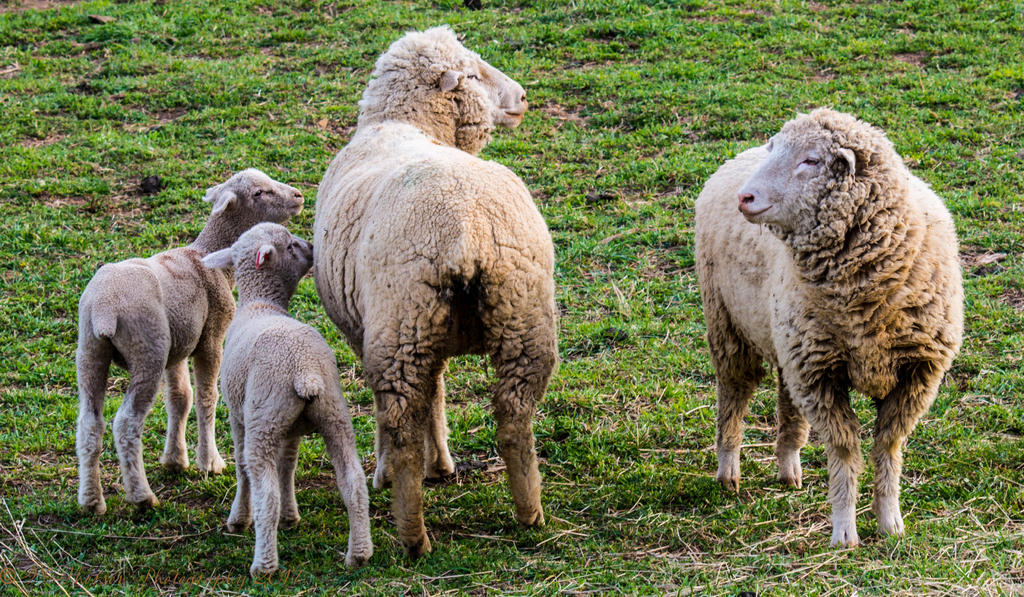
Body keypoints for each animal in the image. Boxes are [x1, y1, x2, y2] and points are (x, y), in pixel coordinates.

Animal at [75, 169, 304, 513]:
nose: (299, 196)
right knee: (126, 423)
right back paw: (142, 496)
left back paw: (91, 501)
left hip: (91, 351)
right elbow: (207, 397)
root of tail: (104, 307)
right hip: (148, 349)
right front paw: (209, 462)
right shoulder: (210, 336)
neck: (207, 256)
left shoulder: (179, 344)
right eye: (259, 193)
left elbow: (180, 398)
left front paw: (175, 460)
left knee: (90, 422)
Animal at [202, 223, 372, 576]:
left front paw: (238, 520)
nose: (311, 247)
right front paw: (291, 517)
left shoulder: (238, 416)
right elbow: (288, 465)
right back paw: (359, 553)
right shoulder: (291, 428)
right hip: (332, 414)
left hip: (263, 421)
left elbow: (242, 466)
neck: (260, 303)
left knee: (265, 493)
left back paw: (264, 564)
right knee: (353, 481)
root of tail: (303, 370)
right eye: (292, 246)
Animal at [313, 26, 556, 557]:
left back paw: (411, 531)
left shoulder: (366, 332)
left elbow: (407, 402)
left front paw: (396, 469)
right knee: (515, 416)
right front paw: (442, 462)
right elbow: (439, 389)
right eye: (473, 74)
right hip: (520, 316)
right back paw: (529, 512)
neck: (405, 123)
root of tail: (467, 229)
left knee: (401, 419)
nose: (523, 97)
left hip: (401, 325)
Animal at [694, 108, 963, 547]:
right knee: (734, 393)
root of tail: (737, 155)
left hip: (789, 342)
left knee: (786, 402)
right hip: (728, 326)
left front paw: (890, 523)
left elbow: (888, 445)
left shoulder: (917, 373)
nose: (745, 198)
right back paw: (728, 471)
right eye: (777, 149)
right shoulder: (819, 376)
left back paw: (789, 467)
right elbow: (844, 451)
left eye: (811, 160)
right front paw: (844, 532)